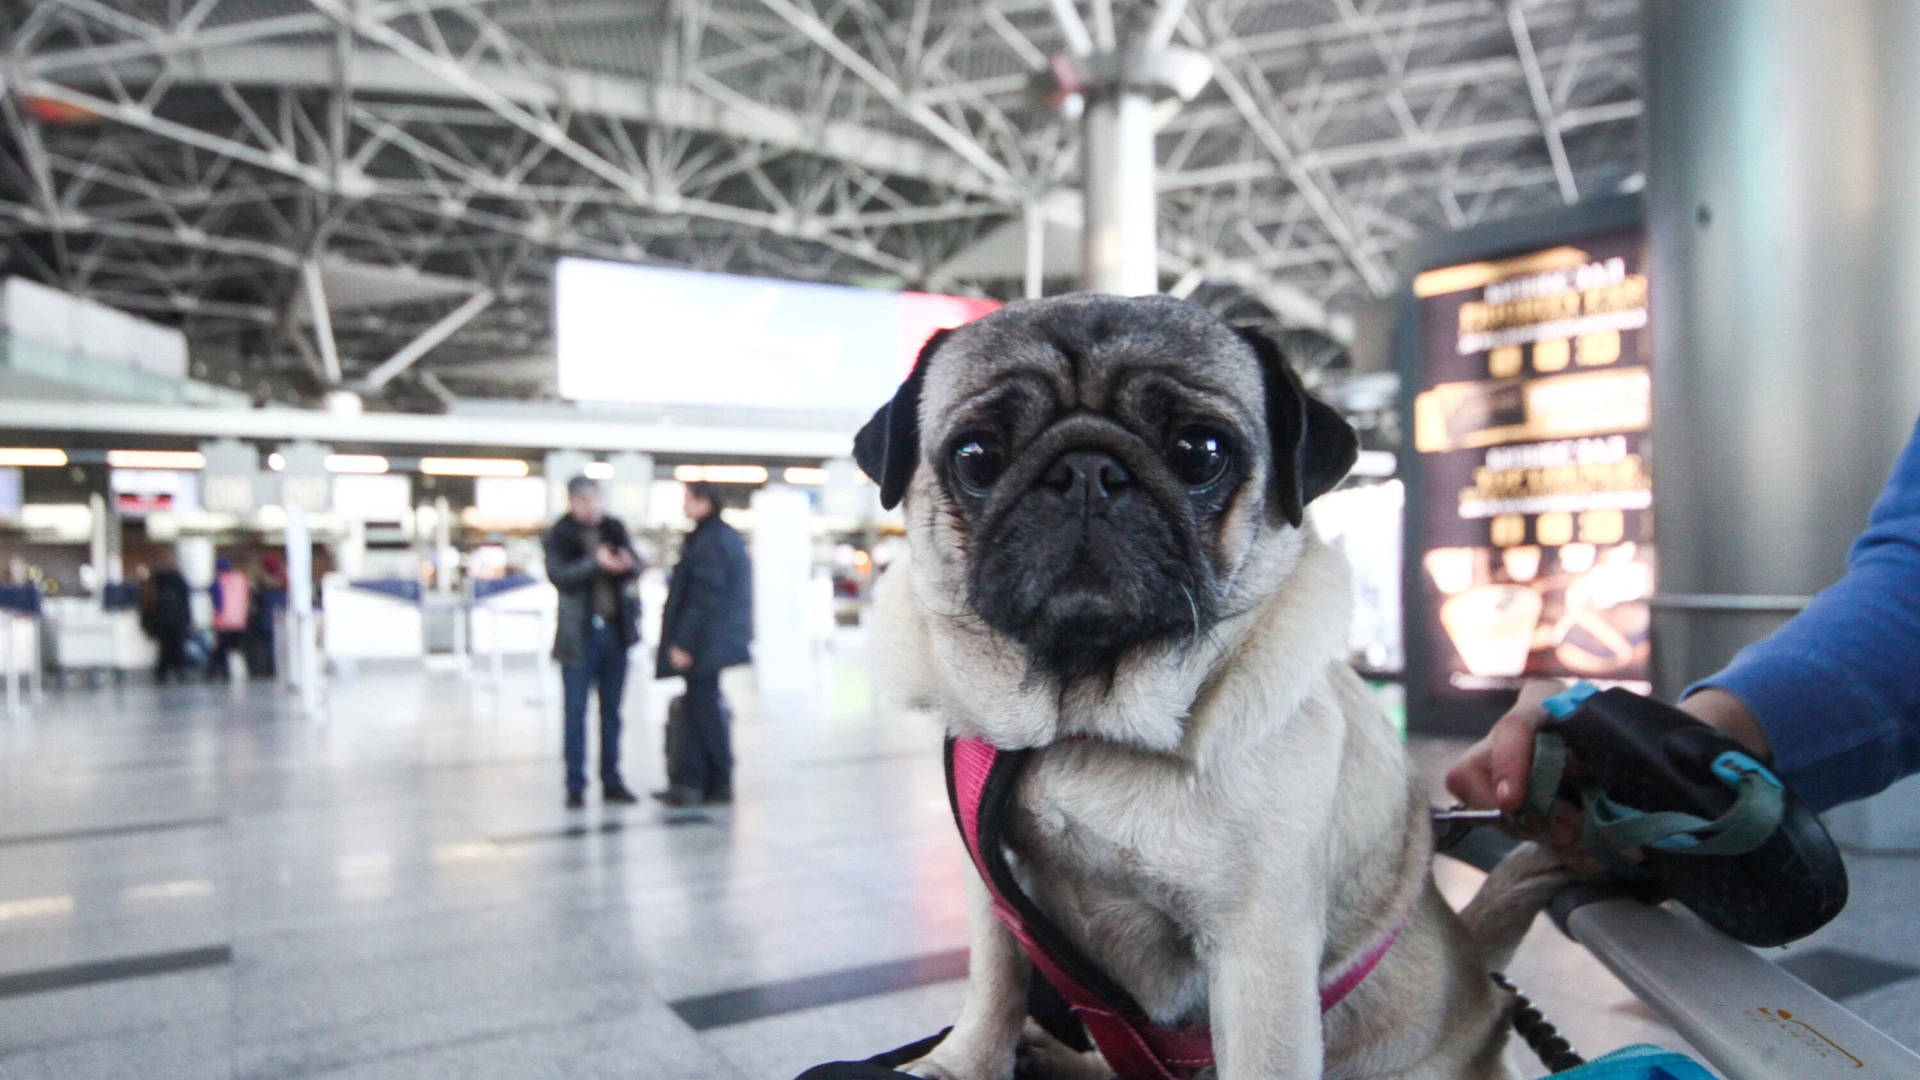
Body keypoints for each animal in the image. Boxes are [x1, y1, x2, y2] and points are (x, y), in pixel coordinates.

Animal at [852, 294, 1559, 1076]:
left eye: (1200, 453)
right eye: (976, 456)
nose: (1086, 471)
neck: (1083, 724)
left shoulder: (1260, 955)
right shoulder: (995, 896)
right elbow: (995, 984)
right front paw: (964, 1061)